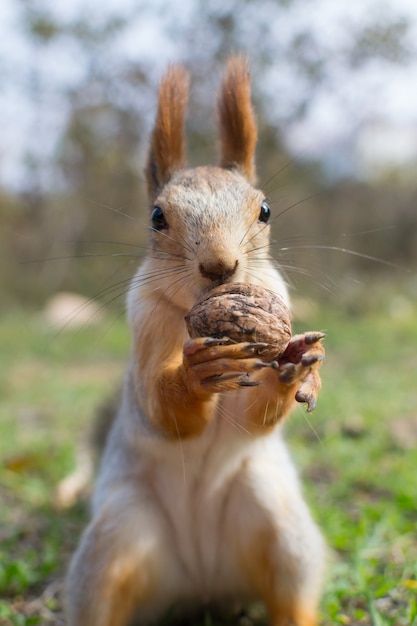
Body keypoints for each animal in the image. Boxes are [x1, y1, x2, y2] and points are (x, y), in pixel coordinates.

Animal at [66, 56, 324, 624]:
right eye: (157, 216)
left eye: (265, 210)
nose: (219, 267)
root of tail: (201, 584)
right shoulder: (144, 328)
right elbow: (159, 410)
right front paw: (195, 374)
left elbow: (255, 417)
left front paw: (297, 361)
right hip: (118, 535)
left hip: (279, 523)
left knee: (291, 595)